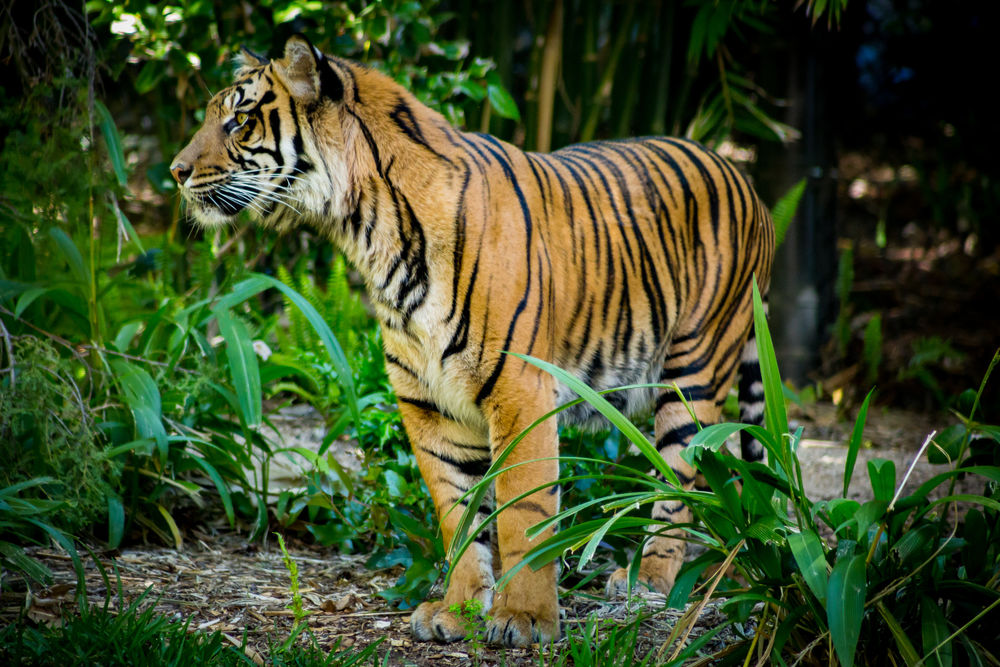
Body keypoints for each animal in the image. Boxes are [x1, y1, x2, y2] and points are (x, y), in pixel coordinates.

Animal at [170, 34, 775, 648]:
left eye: (240, 119)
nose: (175, 171)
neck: (368, 232)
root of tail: (743, 175)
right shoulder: (429, 403)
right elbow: (457, 514)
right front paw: (459, 611)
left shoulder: (521, 391)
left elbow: (523, 513)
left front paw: (525, 618)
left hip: (694, 371)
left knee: (681, 484)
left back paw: (647, 580)